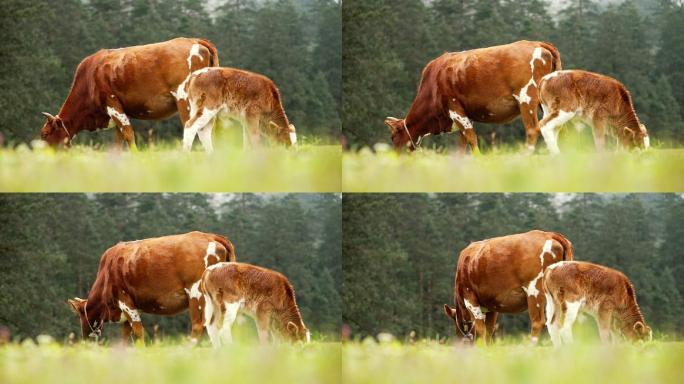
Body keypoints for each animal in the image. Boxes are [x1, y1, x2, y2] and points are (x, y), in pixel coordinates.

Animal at [40, 37, 220, 148]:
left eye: (44, 134)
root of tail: (195, 40)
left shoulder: (112, 104)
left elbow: (128, 135)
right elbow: (118, 143)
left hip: (185, 100)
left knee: (192, 129)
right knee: (207, 131)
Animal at [67, 231, 235, 342]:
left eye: (80, 315)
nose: (84, 339)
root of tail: (211, 236)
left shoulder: (124, 300)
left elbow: (138, 332)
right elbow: (125, 337)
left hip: (196, 293)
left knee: (199, 325)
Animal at [384, 39, 560, 152]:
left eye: (392, 137)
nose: (395, 157)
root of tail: (537, 43)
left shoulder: (455, 109)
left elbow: (471, 140)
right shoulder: (462, 116)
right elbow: (462, 145)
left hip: (526, 98)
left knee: (533, 129)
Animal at [444, 230, 572, 344]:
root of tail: (550, 234)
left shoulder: (469, 297)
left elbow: (481, 330)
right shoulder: (491, 307)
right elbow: (489, 331)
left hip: (535, 290)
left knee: (538, 322)